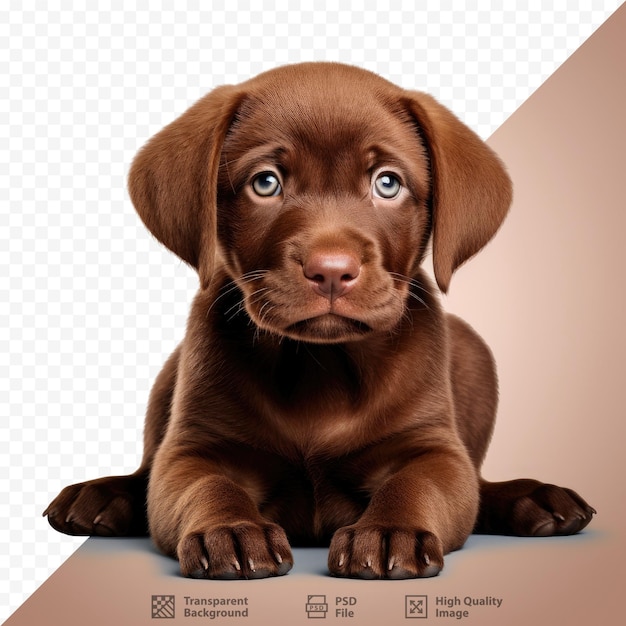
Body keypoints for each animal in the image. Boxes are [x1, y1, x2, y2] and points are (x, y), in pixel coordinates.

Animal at [45, 61, 596, 576]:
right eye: (265, 183)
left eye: (388, 184)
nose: (331, 271)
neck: (320, 366)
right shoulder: (193, 449)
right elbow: (203, 486)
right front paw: (232, 530)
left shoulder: (432, 447)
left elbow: (419, 484)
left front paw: (390, 532)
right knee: (144, 472)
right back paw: (101, 496)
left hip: (475, 353)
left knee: (481, 485)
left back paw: (534, 498)